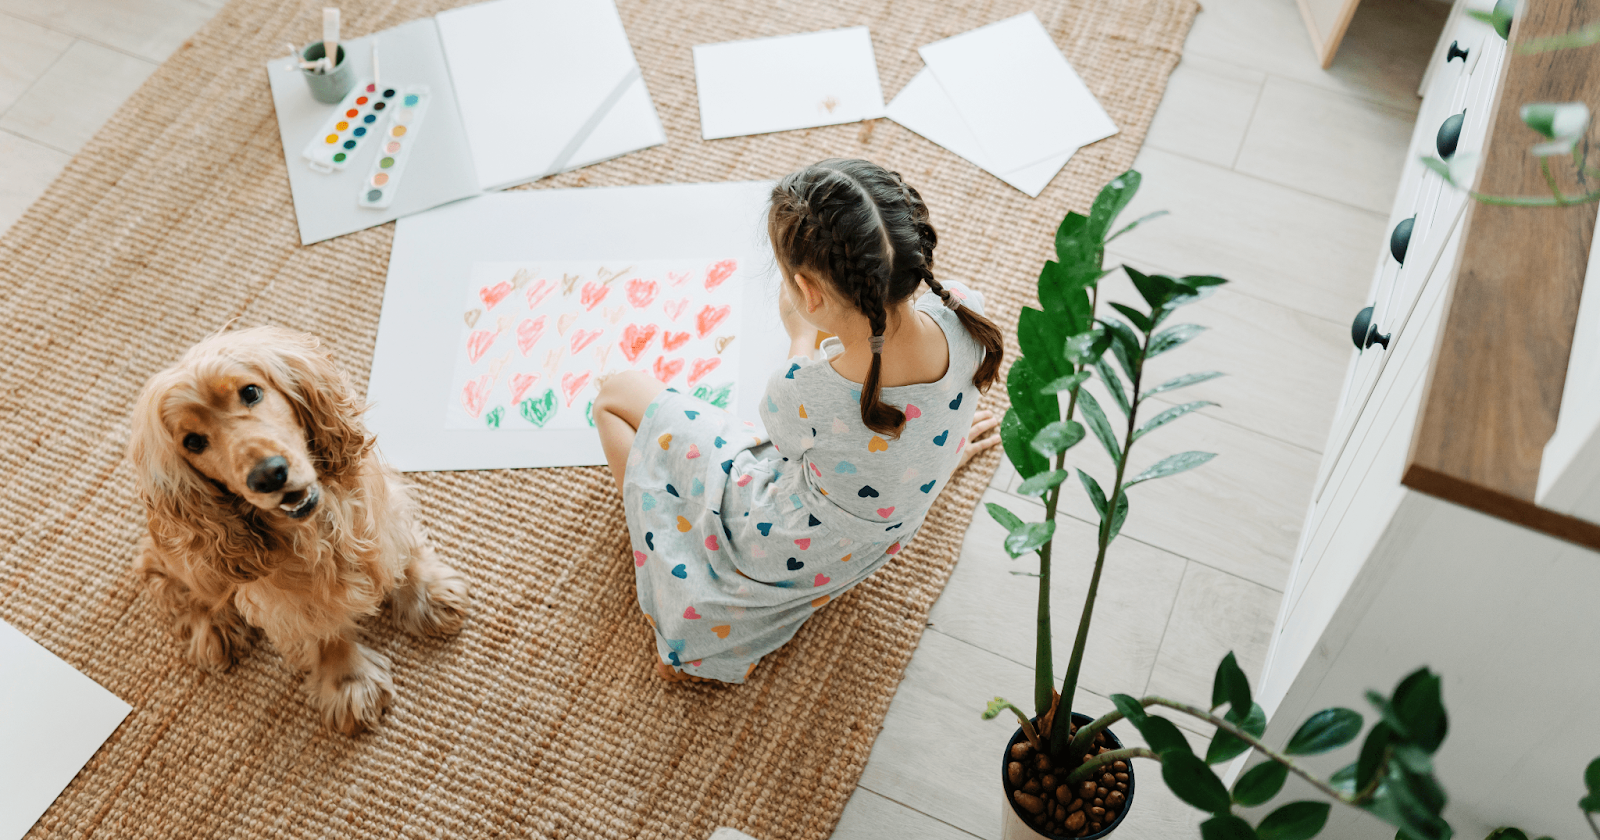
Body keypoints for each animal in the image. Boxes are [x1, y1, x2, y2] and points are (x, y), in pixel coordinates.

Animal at [130, 324, 467, 729]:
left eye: (251, 392)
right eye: (193, 441)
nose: (268, 475)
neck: (318, 527)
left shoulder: (382, 508)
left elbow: (401, 549)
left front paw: (427, 594)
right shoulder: (285, 598)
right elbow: (321, 628)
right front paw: (348, 680)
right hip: (189, 557)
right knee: (162, 569)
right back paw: (212, 625)